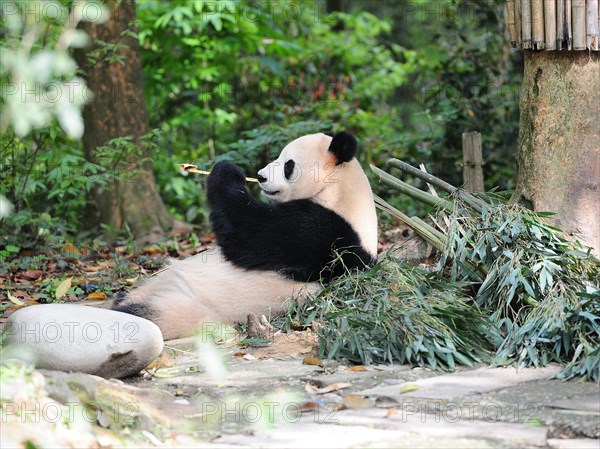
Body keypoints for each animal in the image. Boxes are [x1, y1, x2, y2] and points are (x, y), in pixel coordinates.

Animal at [112, 131, 376, 338]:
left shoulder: (326, 232)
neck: (340, 191)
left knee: (139, 317)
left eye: (288, 165)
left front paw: (226, 170)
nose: (260, 176)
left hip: (189, 308)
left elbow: (249, 234)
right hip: (159, 287)